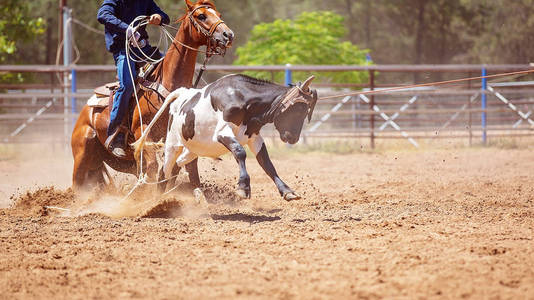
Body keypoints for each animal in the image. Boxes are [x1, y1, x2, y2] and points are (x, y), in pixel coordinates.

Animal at [71, 0, 234, 190]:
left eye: (219, 14)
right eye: (201, 16)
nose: (228, 35)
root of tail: (85, 112)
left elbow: (184, 171)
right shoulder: (143, 133)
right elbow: (154, 167)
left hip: (116, 162)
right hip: (82, 156)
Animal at [134, 74, 318, 200]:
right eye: (298, 110)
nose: (293, 138)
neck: (243, 98)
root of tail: (182, 94)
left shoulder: (254, 137)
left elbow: (266, 163)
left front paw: (287, 191)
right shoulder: (223, 132)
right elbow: (240, 152)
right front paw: (243, 187)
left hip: (193, 149)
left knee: (176, 166)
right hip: (173, 144)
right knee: (164, 171)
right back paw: (156, 200)